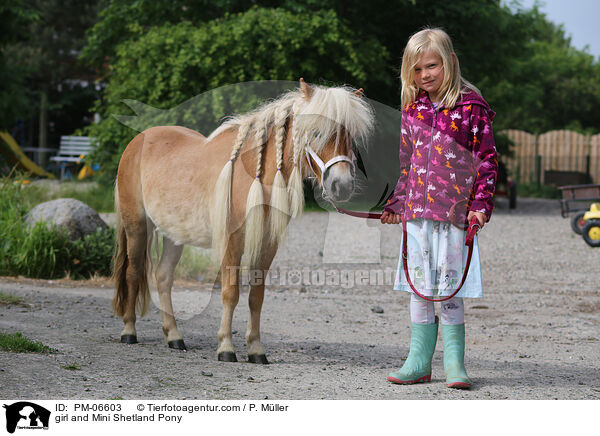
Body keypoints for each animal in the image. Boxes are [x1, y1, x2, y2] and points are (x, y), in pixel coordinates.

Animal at [112, 79, 372, 364]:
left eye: (350, 137)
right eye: (315, 133)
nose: (341, 186)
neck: (255, 172)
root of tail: (138, 141)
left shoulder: (267, 243)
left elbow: (256, 296)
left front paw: (256, 350)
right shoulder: (232, 240)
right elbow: (230, 292)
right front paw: (226, 347)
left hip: (174, 235)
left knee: (163, 277)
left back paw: (174, 337)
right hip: (137, 226)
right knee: (133, 272)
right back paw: (128, 332)